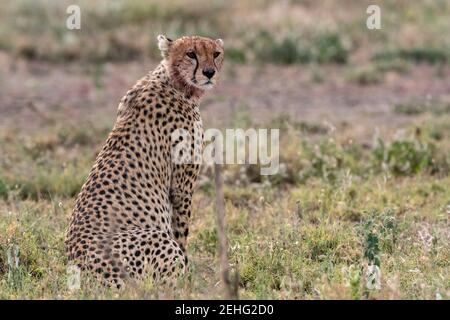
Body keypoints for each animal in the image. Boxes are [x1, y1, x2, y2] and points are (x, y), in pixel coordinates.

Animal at [64, 35, 223, 288]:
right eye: (191, 54)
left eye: (216, 53)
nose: (209, 72)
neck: (171, 81)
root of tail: (84, 273)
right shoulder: (181, 186)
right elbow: (181, 231)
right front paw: (192, 277)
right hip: (154, 239)